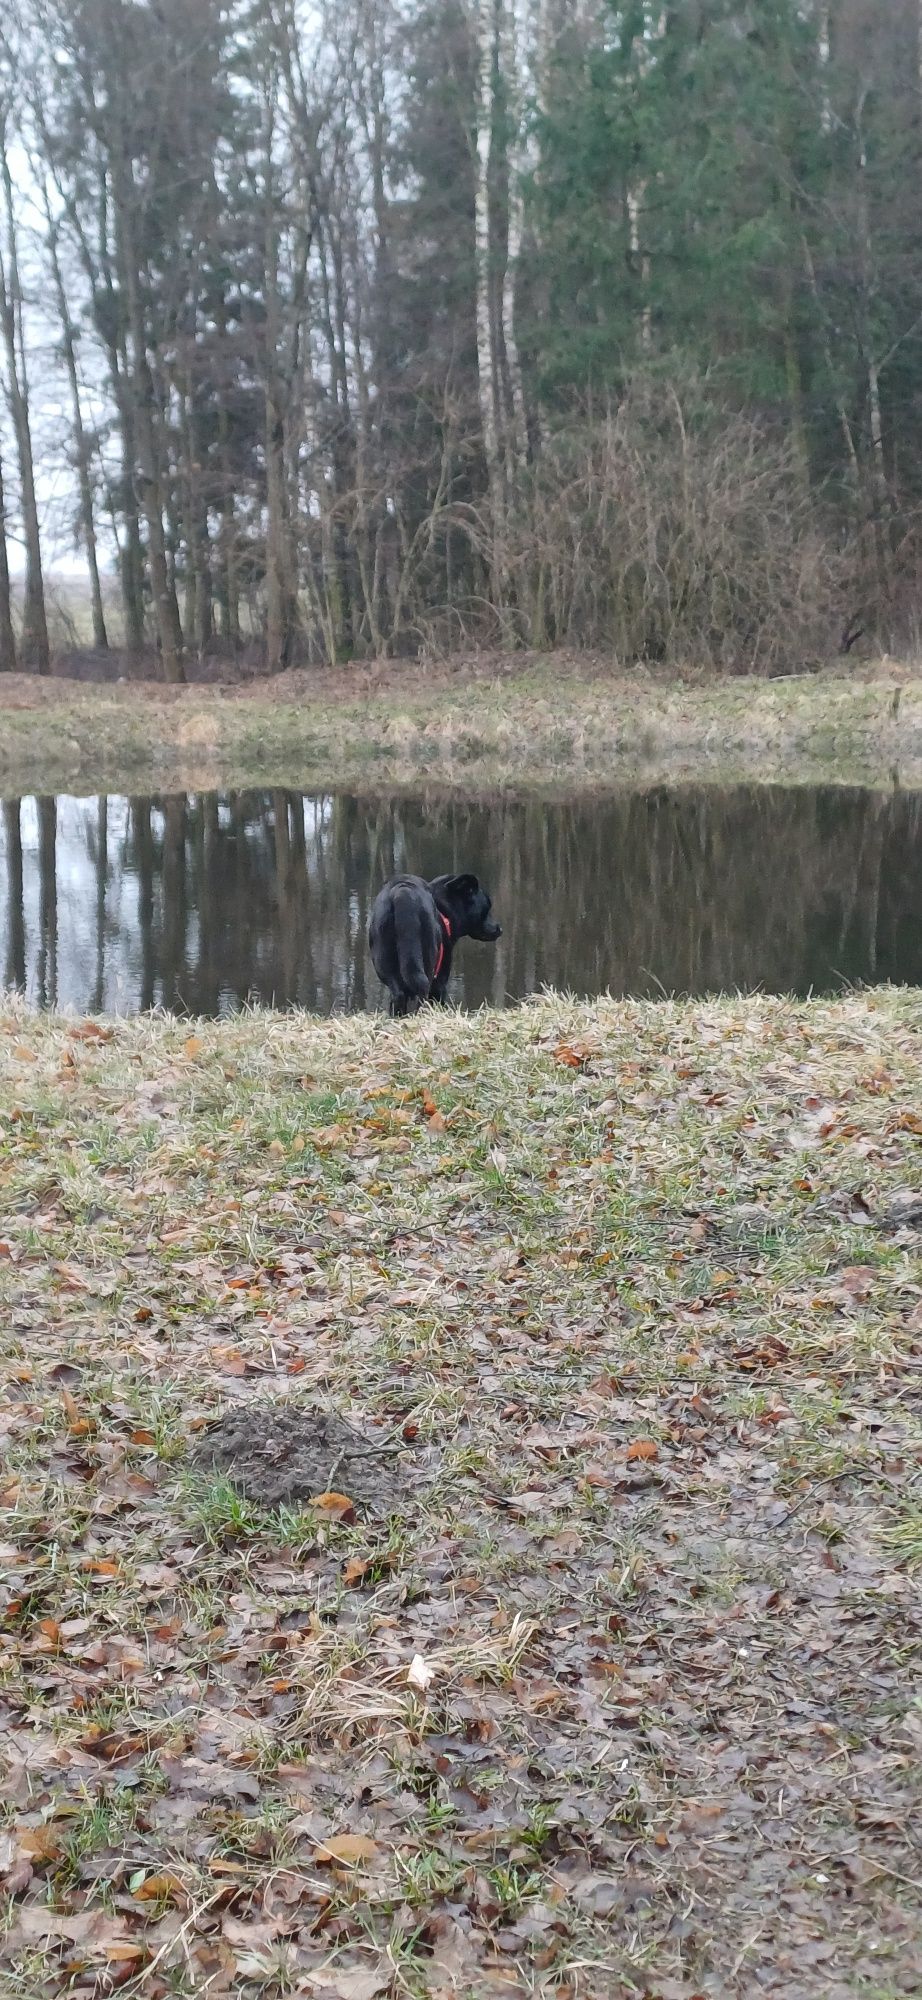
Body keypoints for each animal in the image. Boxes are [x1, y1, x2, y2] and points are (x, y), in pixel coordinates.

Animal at [366, 872, 500, 1016]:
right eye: (487, 907)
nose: (499, 928)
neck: (443, 913)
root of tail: (402, 892)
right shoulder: (440, 982)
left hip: (384, 962)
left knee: (398, 995)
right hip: (428, 964)